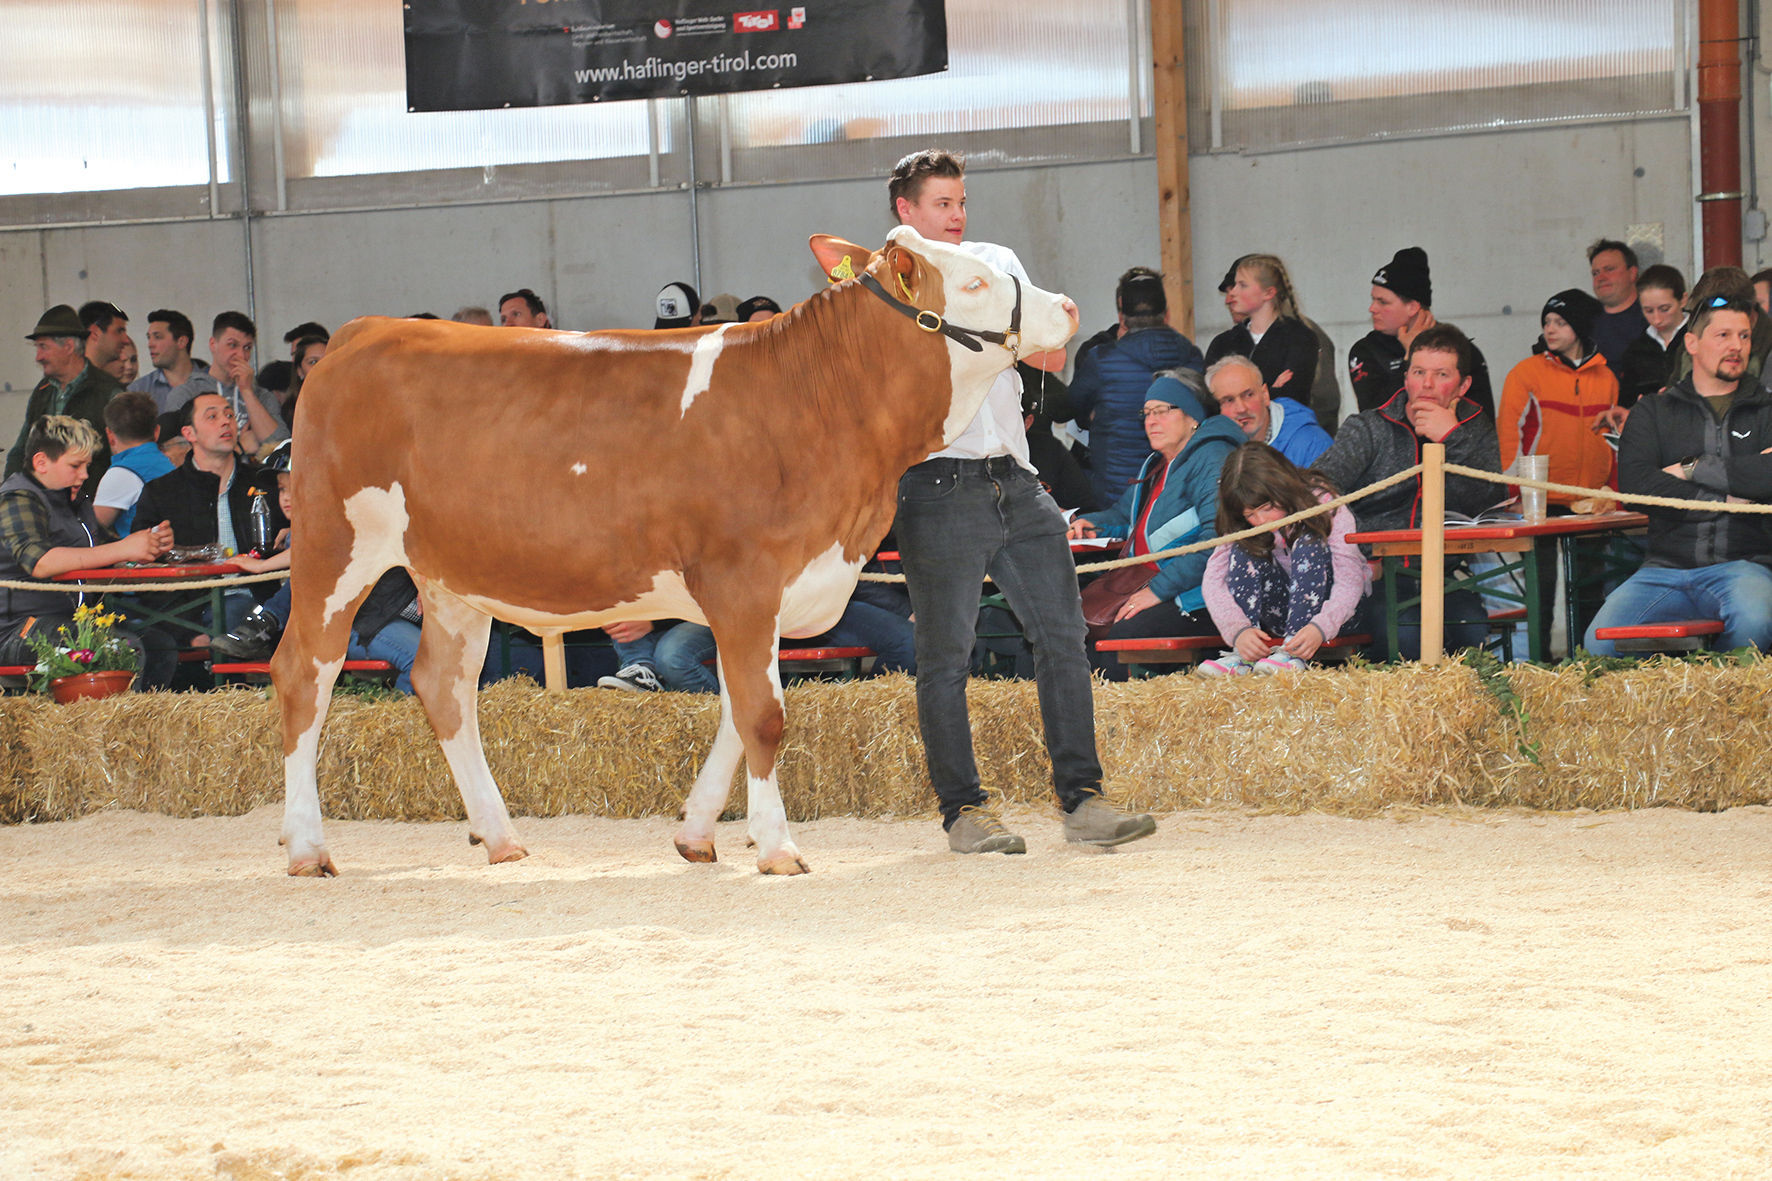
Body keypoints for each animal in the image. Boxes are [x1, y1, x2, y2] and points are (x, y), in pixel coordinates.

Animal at [272, 223, 1077, 872]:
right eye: (973, 281)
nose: (1067, 306)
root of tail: (361, 333)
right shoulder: (744, 580)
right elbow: (763, 715)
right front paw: (778, 846)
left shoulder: (762, 596)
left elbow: (739, 711)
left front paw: (697, 834)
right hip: (335, 550)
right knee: (304, 673)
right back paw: (308, 847)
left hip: (450, 577)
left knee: (443, 686)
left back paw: (501, 838)